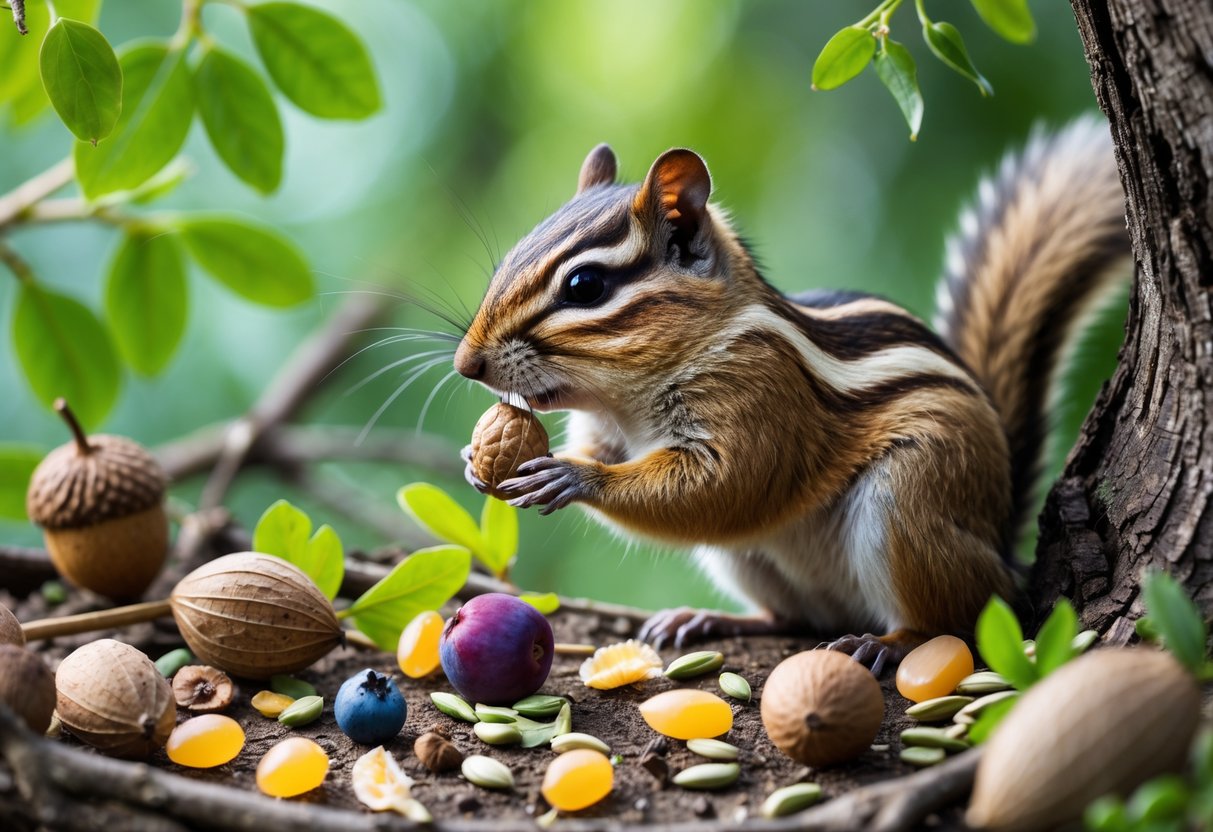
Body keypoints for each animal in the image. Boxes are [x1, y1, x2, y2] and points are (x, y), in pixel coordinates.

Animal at [453, 118, 1130, 672]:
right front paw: (475, 461)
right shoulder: (608, 431)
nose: (466, 364)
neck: (629, 401)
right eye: (509, 257)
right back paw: (710, 619)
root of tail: (1000, 542)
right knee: (796, 618)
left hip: (911, 500)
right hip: (746, 559)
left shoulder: (763, 399)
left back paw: (891, 643)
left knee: (959, 618)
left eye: (586, 285)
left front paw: (572, 477)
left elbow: (727, 486)